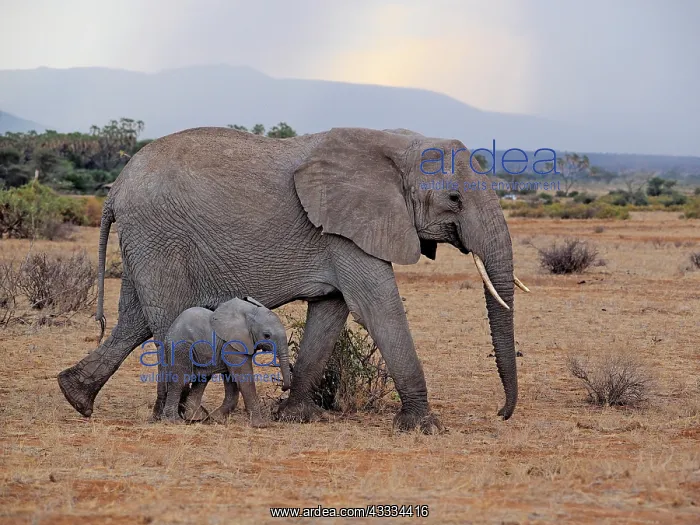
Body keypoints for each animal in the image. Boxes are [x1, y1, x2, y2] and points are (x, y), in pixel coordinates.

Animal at [158, 297, 290, 427]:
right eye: (267, 335)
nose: (284, 388)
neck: (250, 312)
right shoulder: (232, 345)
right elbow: (243, 379)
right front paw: (260, 425)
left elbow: (232, 381)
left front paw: (216, 418)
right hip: (180, 348)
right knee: (179, 381)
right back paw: (174, 420)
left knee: (201, 380)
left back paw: (197, 418)